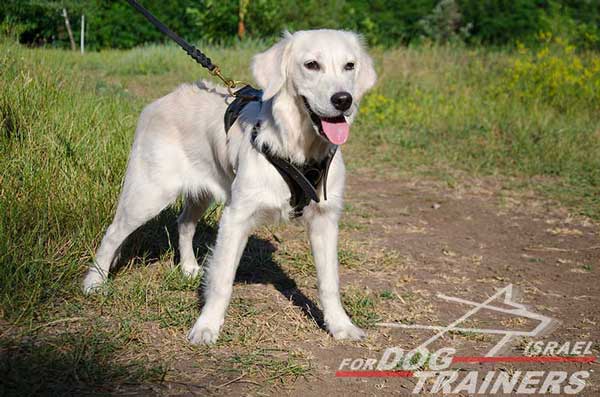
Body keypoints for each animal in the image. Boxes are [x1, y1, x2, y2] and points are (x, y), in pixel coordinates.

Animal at [83, 29, 376, 342]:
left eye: (349, 66)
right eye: (311, 65)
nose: (343, 99)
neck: (299, 149)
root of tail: (158, 102)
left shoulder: (325, 219)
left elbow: (329, 281)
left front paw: (340, 325)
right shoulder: (237, 217)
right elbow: (222, 279)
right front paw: (206, 326)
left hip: (199, 193)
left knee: (184, 223)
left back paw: (188, 267)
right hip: (149, 194)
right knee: (113, 233)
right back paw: (94, 281)